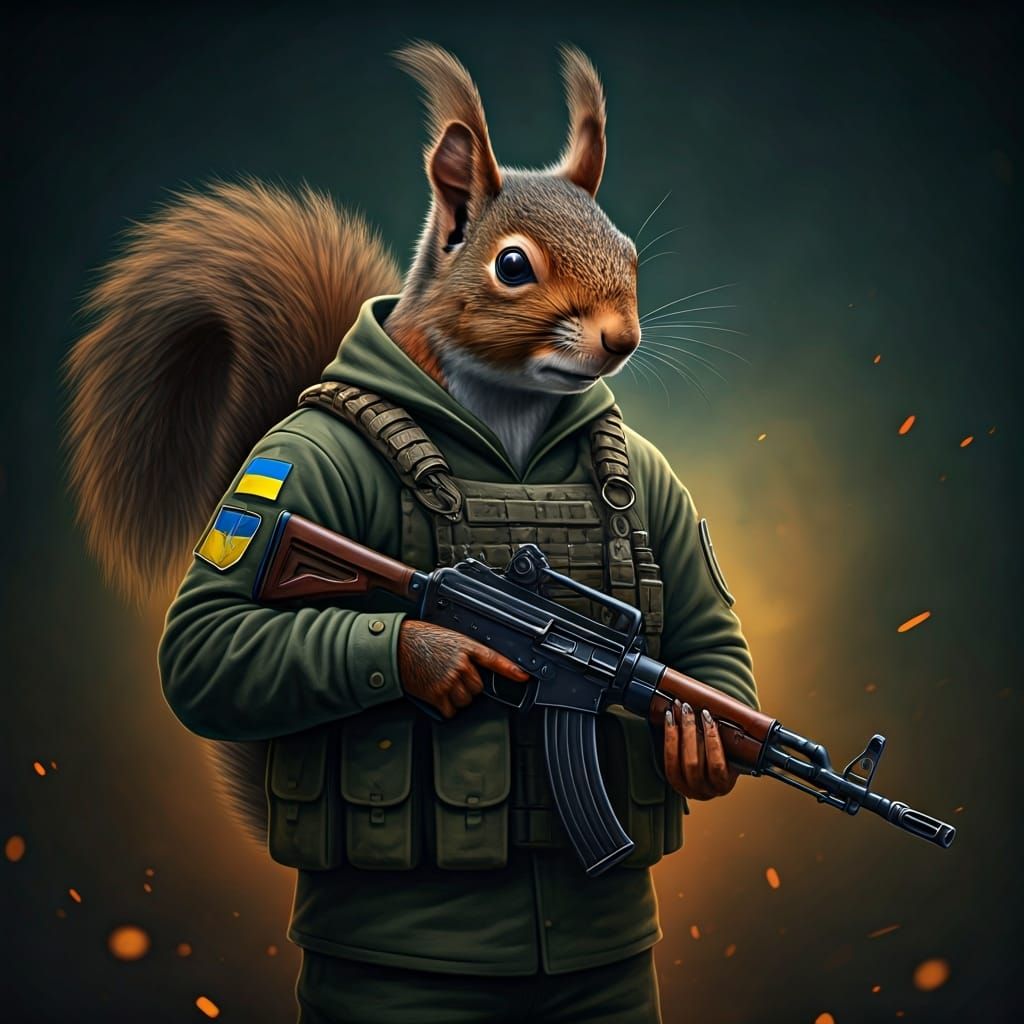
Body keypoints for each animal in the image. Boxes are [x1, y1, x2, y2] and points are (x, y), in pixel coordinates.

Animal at [65, 43, 733, 842]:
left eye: (630, 253)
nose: (622, 338)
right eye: (512, 265)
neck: (510, 413)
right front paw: (437, 658)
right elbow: (206, 635)